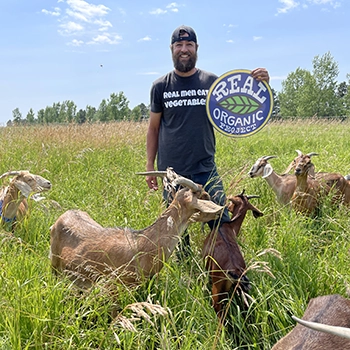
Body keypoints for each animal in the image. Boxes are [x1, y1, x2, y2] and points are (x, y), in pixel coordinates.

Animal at [201, 190, 264, 318]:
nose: (227, 207)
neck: (229, 227)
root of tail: (236, 272)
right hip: (242, 292)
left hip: (217, 290)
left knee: (219, 311)